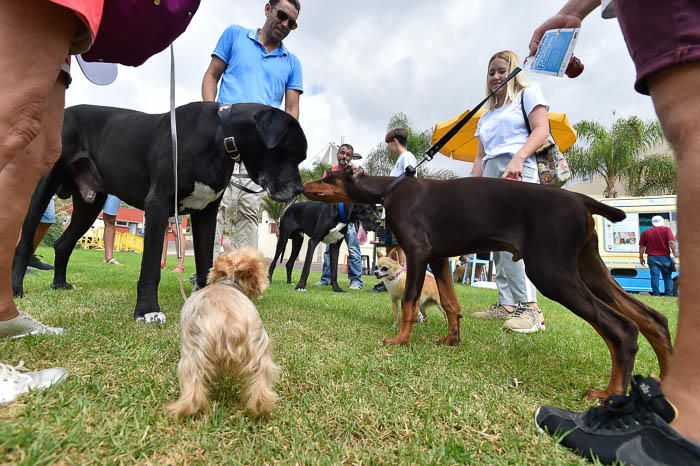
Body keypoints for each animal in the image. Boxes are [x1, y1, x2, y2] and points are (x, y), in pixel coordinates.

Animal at [12, 102, 304, 322]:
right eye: (291, 152)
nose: (300, 188)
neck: (220, 136)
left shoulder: (205, 213)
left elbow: (204, 261)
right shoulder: (158, 205)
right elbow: (151, 266)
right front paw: (147, 310)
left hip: (88, 204)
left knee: (63, 244)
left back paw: (60, 284)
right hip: (44, 186)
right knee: (24, 242)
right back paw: (16, 290)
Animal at [167, 249, 278, 416]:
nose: (266, 279)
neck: (227, 282)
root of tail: (230, 323)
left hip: (193, 352)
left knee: (192, 384)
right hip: (259, 348)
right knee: (261, 380)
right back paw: (260, 407)